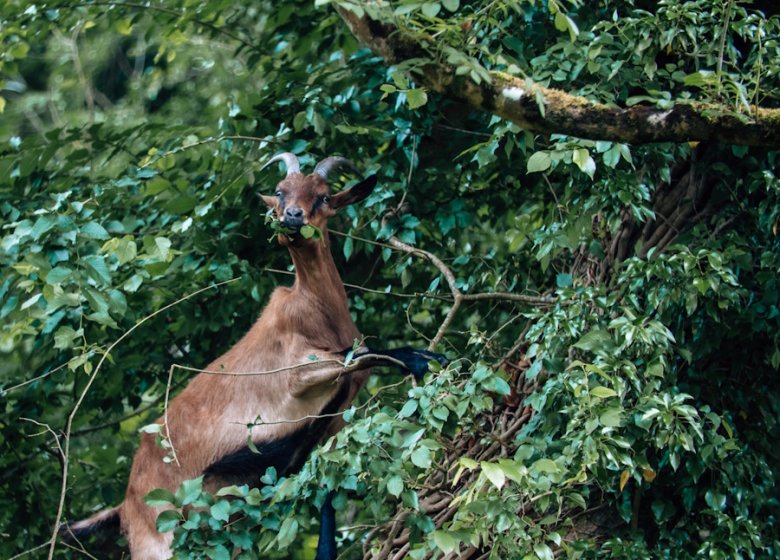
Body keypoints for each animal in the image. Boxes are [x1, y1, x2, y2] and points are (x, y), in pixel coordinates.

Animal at [65, 153, 444, 560]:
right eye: (280, 191)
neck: (317, 312)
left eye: (324, 196)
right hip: (157, 536)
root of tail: (124, 504)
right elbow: (361, 353)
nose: (292, 217)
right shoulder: (297, 375)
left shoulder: (330, 424)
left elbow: (327, 493)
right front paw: (421, 358)